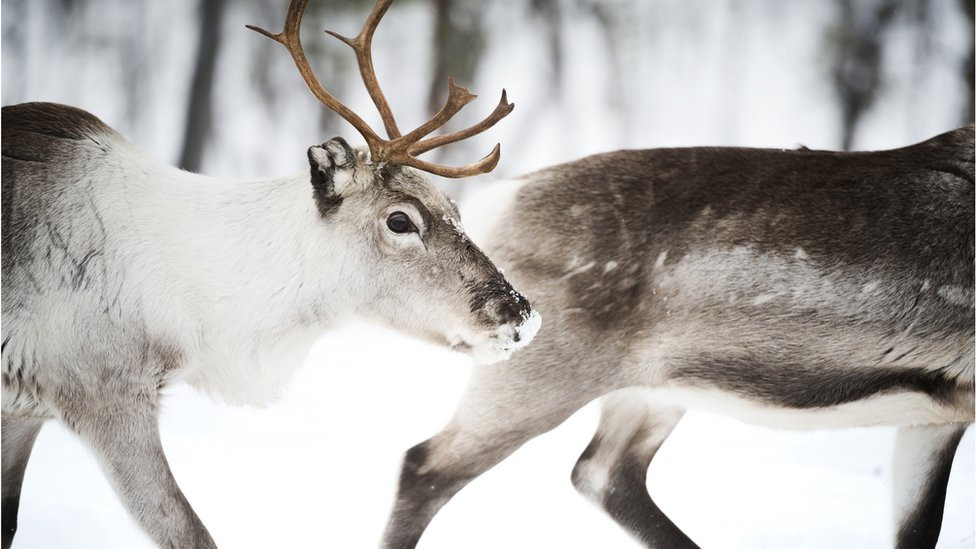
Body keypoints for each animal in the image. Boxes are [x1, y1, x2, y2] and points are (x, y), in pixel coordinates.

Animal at [0, 0, 542, 547]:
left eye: (455, 208)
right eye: (399, 220)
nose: (520, 313)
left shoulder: (22, 412)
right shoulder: (103, 394)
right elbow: (191, 533)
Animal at [380, 125, 975, 548]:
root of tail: (495, 201)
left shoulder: (937, 416)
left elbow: (919, 531)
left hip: (651, 390)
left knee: (601, 472)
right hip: (540, 377)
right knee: (426, 468)